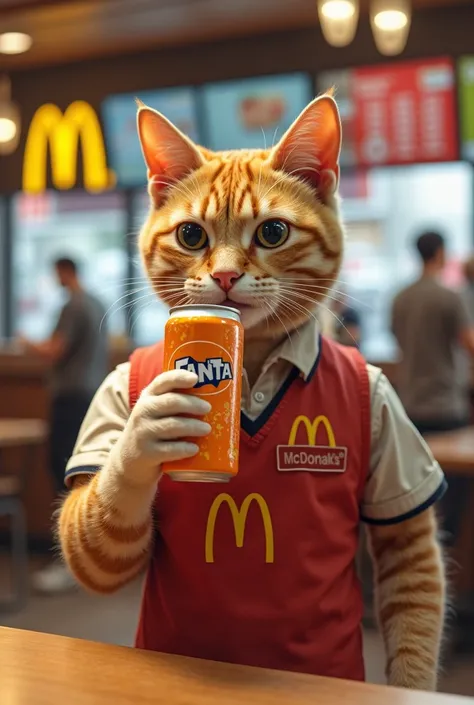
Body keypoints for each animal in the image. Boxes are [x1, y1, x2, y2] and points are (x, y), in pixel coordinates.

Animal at [57, 92, 446, 688]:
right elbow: (98, 548)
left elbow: (411, 563)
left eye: (273, 233)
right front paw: (149, 430)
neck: (256, 353)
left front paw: (411, 685)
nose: (223, 278)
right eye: (192, 235)